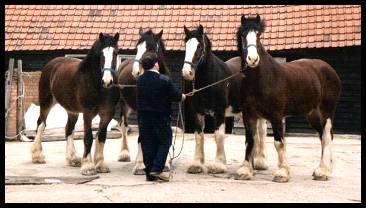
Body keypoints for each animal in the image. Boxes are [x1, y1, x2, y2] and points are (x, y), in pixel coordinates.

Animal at [31, 32, 120, 176]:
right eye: (101, 54)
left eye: (116, 53)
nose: (107, 81)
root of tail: (52, 63)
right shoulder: (88, 114)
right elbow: (88, 138)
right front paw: (88, 166)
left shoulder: (107, 114)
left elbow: (101, 137)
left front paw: (100, 164)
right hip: (46, 102)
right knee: (41, 124)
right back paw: (37, 156)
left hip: (72, 111)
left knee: (68, 129)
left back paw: (72, 158)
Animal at [116, 27, 171, 174]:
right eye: (137, 48)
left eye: (150, 48)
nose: (135, 71)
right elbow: (142, 135)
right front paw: (140, 165)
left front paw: (166, 163)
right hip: (123, 104)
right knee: (124, 126)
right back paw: (124, 154)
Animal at [181, 24, 268, 174]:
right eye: (186, 45)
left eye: (199, 46)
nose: (187, 73)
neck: (209, 79)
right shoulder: (197, 111)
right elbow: (199, 136)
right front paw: (197, 164)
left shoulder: (219, 111)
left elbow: (219, 135)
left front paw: (219, 165)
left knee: (261, 131)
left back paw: (260, 162)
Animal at [236, 14, 342, 182]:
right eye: (242, 35)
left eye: (258, 35)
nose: (252, 59)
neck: (262, 79)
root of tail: (330, 69)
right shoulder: (248, 115)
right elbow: (249, 141)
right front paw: (245, 171)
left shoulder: (276, 115)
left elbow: (279, 142)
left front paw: (282, 172)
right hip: (312, 114)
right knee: (323, 136)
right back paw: (324, 169)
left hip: (327, 111)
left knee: (326, 136)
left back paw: (323, 172)